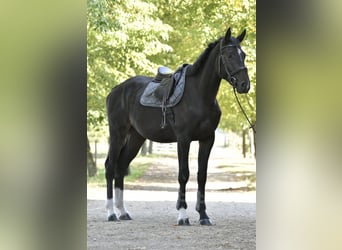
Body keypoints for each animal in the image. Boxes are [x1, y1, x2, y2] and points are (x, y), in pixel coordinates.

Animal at [105, 27, 250, 225]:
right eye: (228, 55)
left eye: (243, 55)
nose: (245, 85)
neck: (199, 95)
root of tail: (116, 90)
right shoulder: (183, 139)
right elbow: (184, 174)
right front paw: (182, 215)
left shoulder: (207, 139)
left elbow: (202, 176)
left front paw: (203, 216)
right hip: (117, 134)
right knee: (110, 167)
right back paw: (111, 213)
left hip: (136, 137)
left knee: (120, 167)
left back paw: (123, 212)